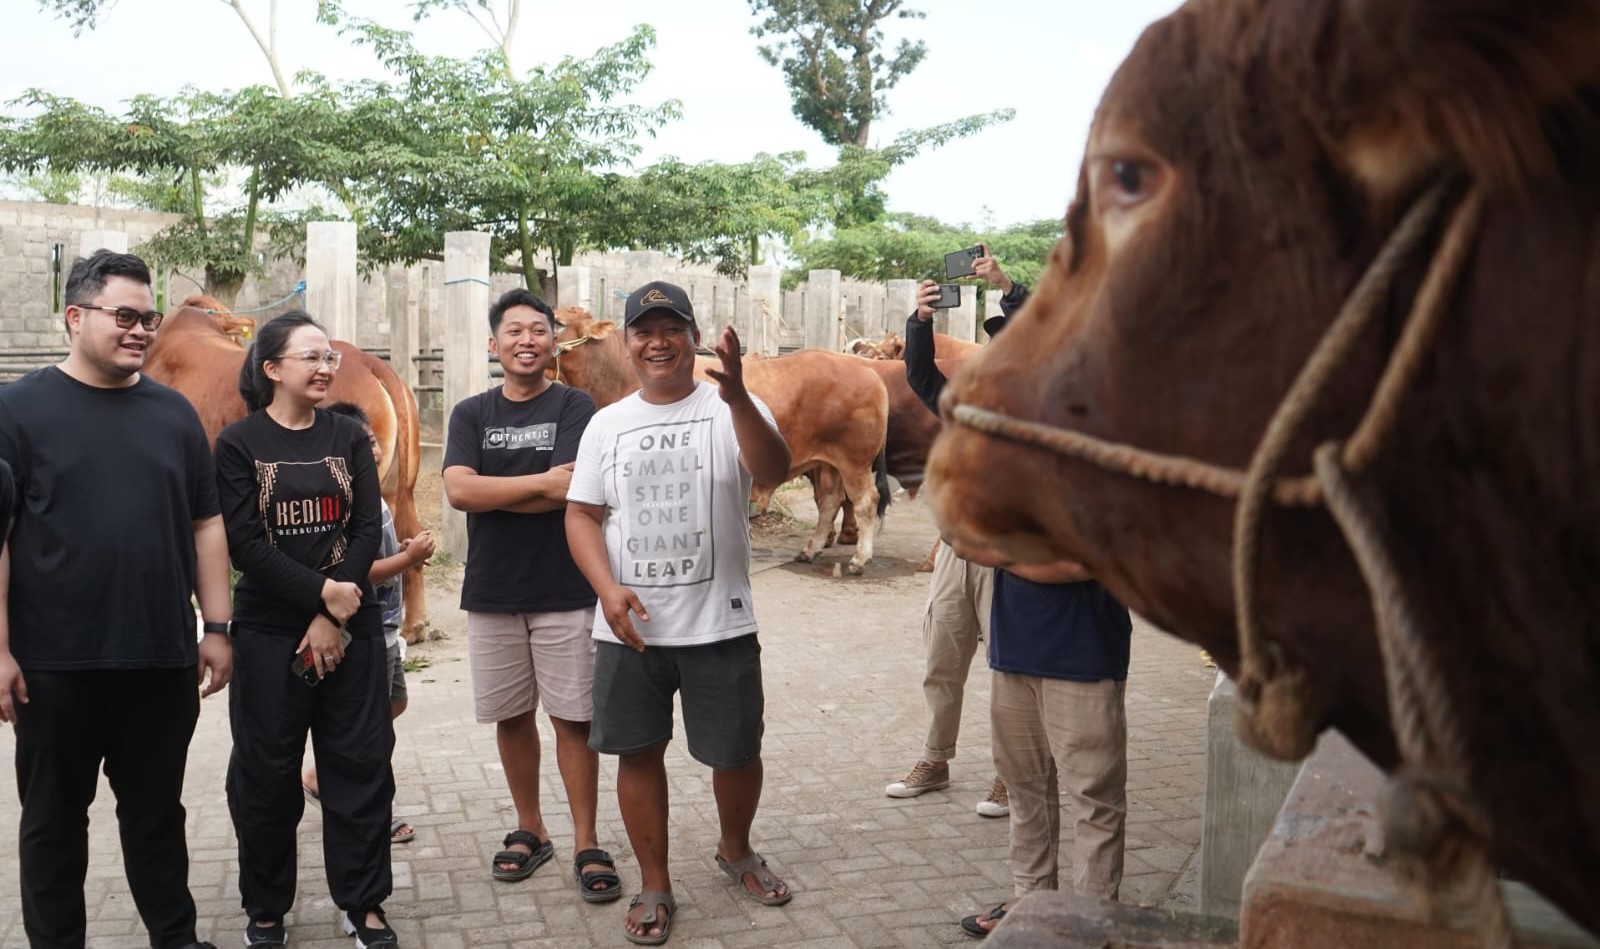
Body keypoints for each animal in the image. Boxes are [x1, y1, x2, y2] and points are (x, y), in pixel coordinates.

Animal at [556, 307, 896, 572]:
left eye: (558, 322)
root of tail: (868, 370)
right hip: (829, 463)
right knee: (830, 502)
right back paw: (810, 550)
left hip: (854, 461)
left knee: (865, 501)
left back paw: (859, 559)